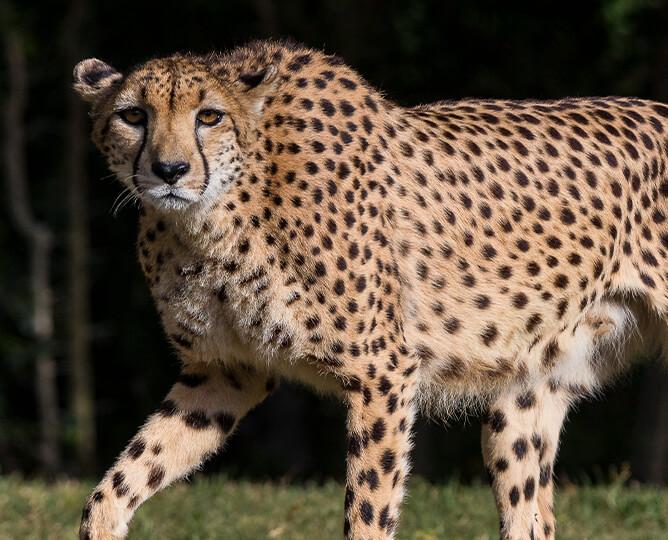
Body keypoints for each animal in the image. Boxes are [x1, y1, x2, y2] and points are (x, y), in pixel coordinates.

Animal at [73, 39, 668, 540]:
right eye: (133, 115)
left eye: (209, 116)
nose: (169, 170)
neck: (219, 211)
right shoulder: (227, 371)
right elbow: (117, 483)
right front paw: (103, 524)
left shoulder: (382, 372)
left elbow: (368, 508)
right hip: (521, 400)